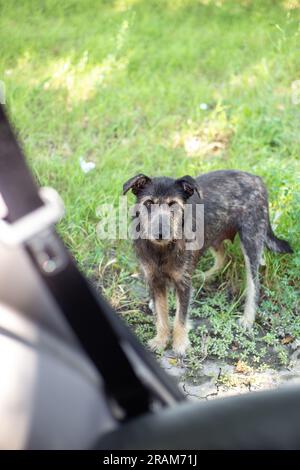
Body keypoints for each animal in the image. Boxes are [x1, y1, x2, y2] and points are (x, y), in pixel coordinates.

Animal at [123, 171, 292, 354]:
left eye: (173, 205)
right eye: (148, 203)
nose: (160, 233)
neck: (161, 250)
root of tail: (256, 179)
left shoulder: (183, 283)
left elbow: (180, 317)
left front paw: (180, 344)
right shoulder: (154, 281)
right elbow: (161, 315)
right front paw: (160, 340)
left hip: (251, 240)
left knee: (254, 283)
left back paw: (248, 318)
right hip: (214, 236)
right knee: (224, 257)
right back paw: (204, 276)